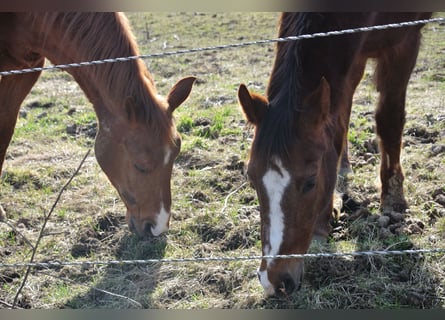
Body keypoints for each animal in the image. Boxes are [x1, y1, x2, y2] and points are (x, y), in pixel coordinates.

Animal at [238, 13, 432, 298]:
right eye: (252, 178)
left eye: (310, 182)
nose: (274, 281)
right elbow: (337, 124)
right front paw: (324, 220)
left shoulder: (404, 42)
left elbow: (389, 118)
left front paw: (393, 197)